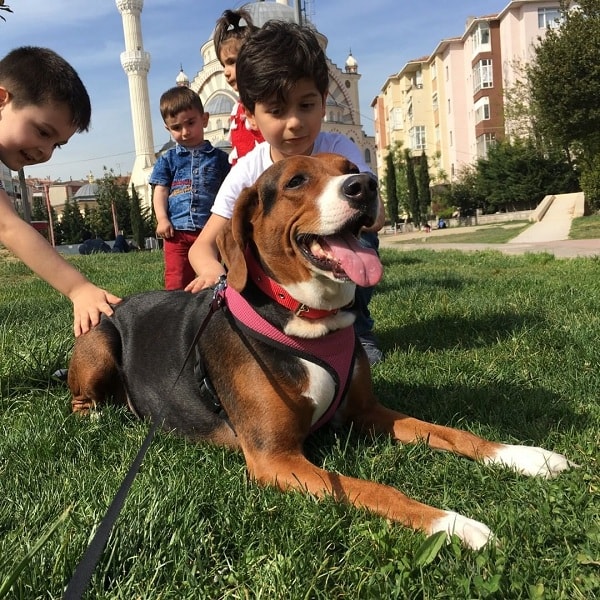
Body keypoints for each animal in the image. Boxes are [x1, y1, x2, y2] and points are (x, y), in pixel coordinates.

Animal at [68, 152, 576, 552]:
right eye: (295, 181)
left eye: (349, 168)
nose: (365, 184)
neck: (308, 316)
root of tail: (119, 303)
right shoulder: (275, 459)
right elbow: (377, 489)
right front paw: (453, 524)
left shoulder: (366, 411)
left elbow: (452, 433)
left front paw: (525, 456)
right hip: (100, 341)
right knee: (80, 400)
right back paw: (98, 415)